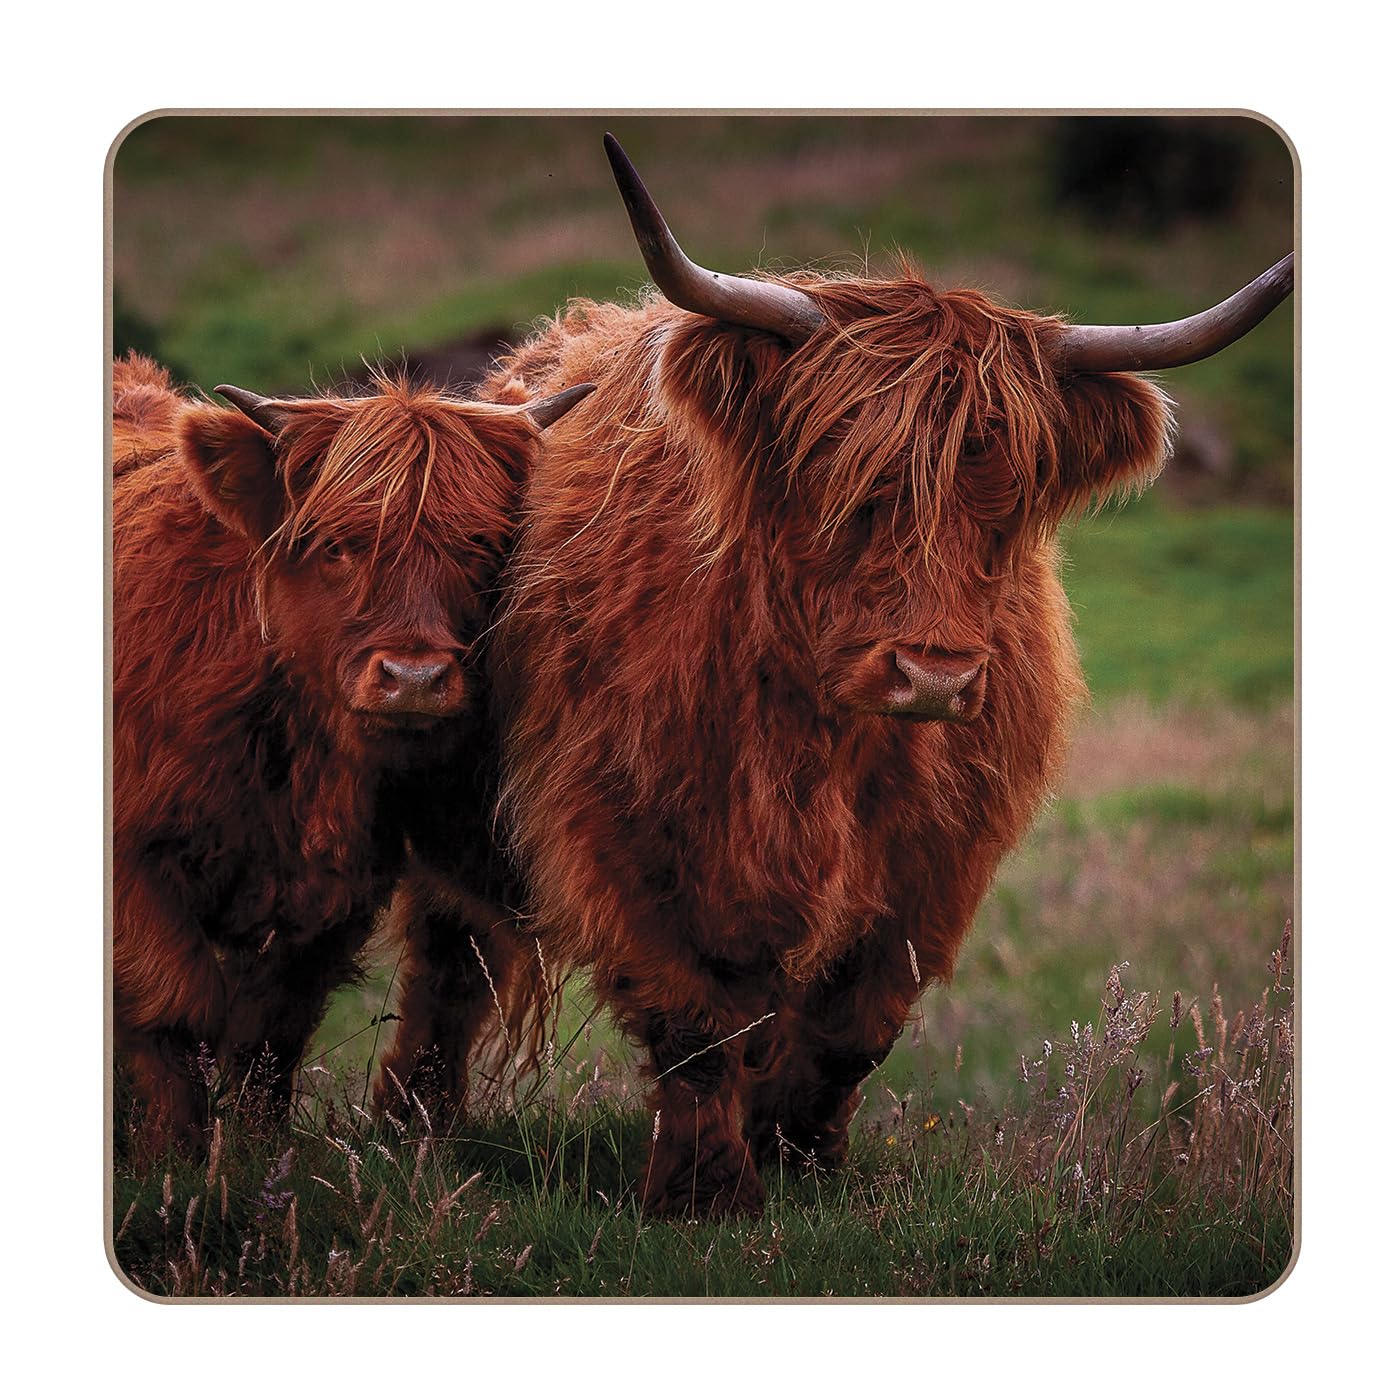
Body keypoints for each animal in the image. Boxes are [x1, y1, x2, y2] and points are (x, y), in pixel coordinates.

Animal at [111, 352, 592, 1155]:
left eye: (479, 548)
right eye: (338, 546)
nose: (415, 678)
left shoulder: (330, 899)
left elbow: (272, 1034)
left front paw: (254, 1150)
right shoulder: (137, 875)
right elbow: (175, 1015)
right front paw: (174, 1156)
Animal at [383, 136, 1292, 1217]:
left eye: (1011, 502)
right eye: (848, 482)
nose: (934, 672)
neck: (823, 735)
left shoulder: (933, 866)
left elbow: (855, 1028)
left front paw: (803, 1165)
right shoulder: (623, 832)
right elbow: (695, 1022)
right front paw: (709, 1191)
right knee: (446, 967)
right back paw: (412, 1130)